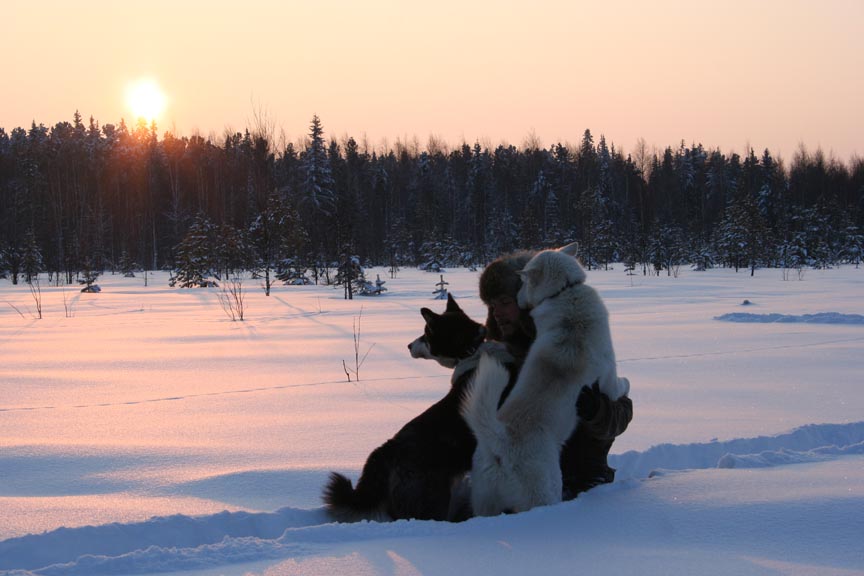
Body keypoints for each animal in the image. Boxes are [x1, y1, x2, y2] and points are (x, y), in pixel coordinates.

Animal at [460, 244, 628, 516]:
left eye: (522, 284)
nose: (519, 300)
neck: (565, 292)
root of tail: (500, 440)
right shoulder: (607, 377)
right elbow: (619, 385)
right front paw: (627, 384)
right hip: (545, 489)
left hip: (485, 501)